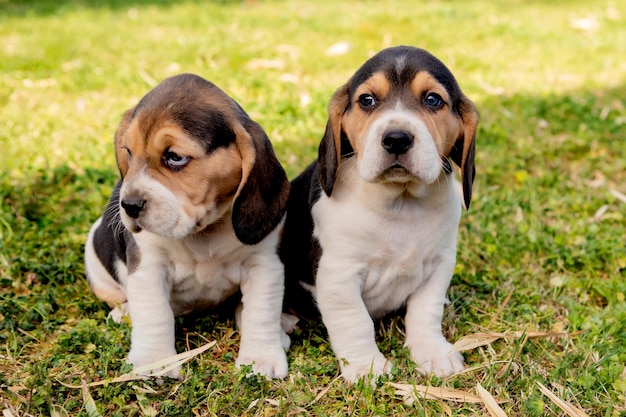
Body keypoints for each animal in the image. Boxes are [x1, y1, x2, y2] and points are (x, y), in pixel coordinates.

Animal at [84, 73, 292, 378]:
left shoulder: (263, 264)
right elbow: (154, 312)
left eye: (174, 157)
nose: (129, 205)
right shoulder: (148, 265)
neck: (204, 230)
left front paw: (260, 359)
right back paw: (125, 313)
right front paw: (154, 361)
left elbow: (260, 312)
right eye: (128, 152)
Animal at [280, 45, 476, 380]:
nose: (396, 139)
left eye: (432, 99)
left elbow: (426, 311)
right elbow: (355, 322)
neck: (400, 202)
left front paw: (433, 352)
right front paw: (366, 366)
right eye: (367, 100)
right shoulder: (339, 275)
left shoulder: (439, 265)